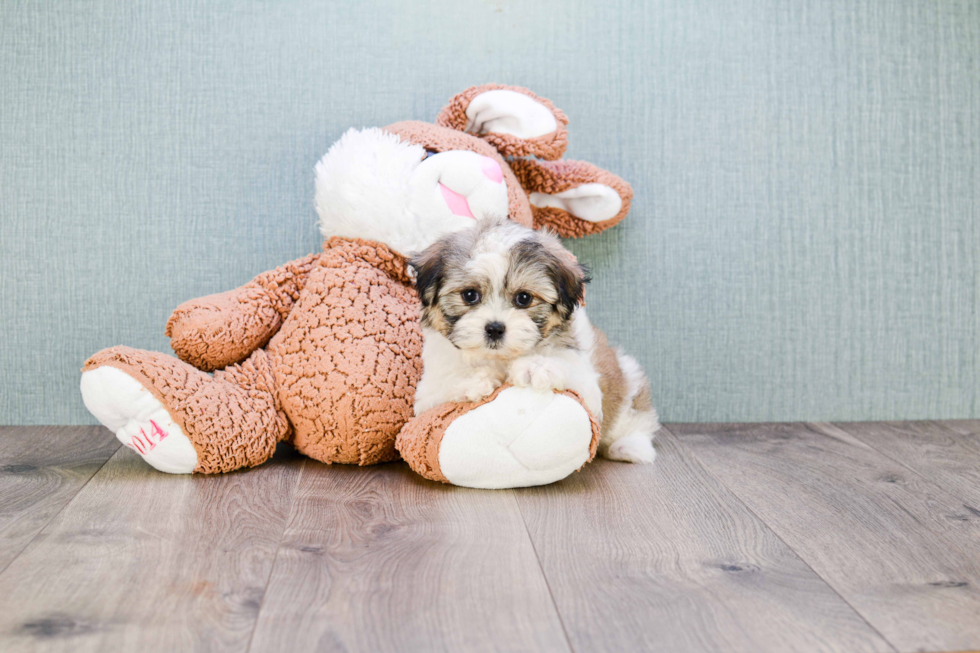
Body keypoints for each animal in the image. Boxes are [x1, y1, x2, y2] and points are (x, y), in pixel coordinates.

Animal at [406, 216, 660, 460]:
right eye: (470, 295)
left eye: (524, 298)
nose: (495, 328)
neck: (501, 358)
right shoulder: (427, 395)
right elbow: (443, 387)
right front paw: (472, 379)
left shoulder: (587, 383)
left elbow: (573, 376)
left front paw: (536, 367)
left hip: (628, 378)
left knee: (638, 418)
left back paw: (629, 447)